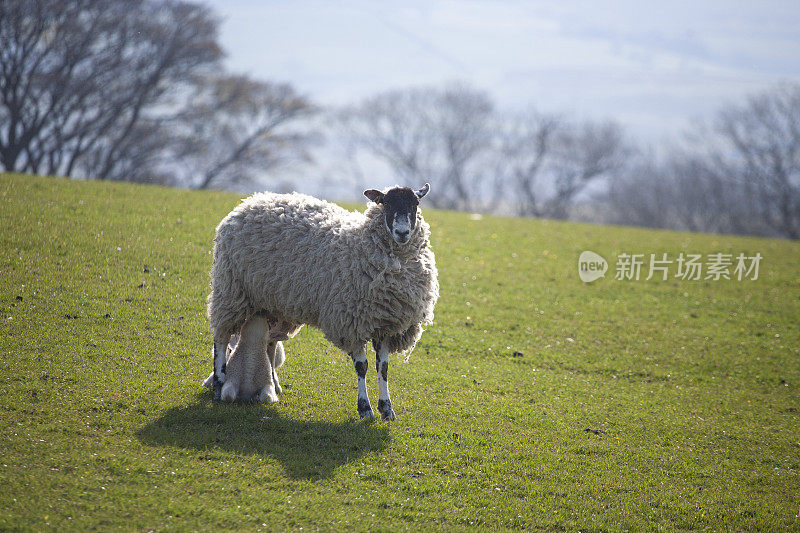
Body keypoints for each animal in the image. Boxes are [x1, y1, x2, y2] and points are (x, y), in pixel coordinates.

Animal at [206, 183, 438, 420]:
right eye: (386, 203)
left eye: (415, 204)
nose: (402, 233)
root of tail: (252, 200)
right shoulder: (351, 323)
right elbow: (362, 367)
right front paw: (365, 408)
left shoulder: (384, 324)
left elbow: (382, 368)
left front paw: (387, 408)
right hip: (231, 291)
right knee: (221, 338)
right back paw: (219, 384)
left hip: (273, 302)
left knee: (270, 343)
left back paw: (274, 385)